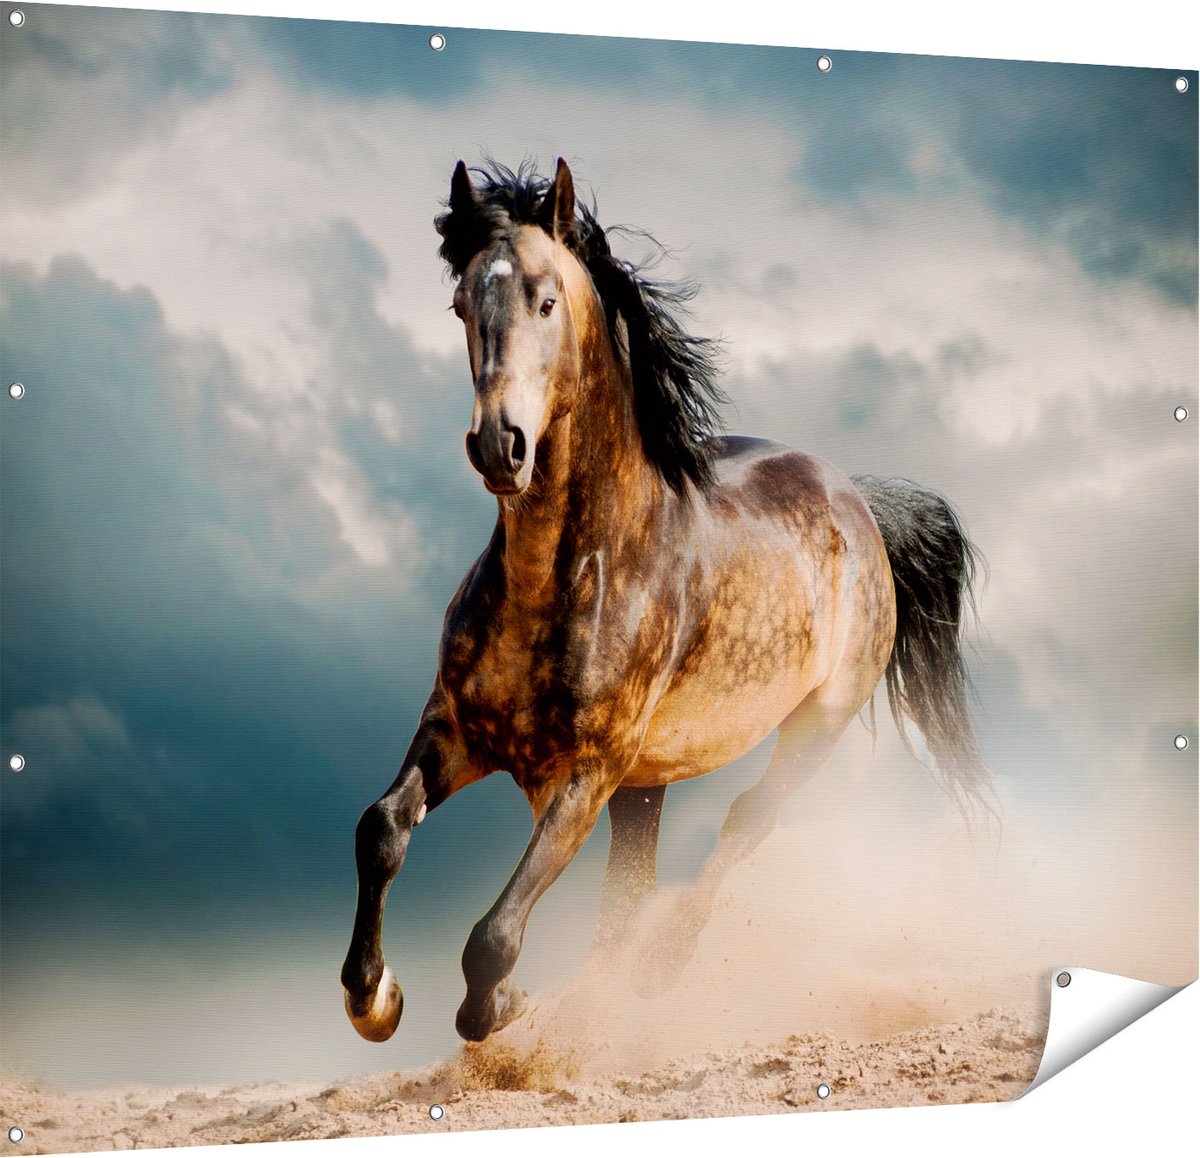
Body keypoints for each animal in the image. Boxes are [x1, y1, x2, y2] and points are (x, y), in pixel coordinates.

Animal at [340, 157, 991, 1044]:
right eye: (461, 304)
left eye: (547, 299)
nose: (499, 446)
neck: (565, 578)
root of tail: (858, 499)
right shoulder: (456, 731)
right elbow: (380, 830)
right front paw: (374, 997)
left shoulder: (587, 773)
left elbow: (493, 936)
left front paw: (501, 1006)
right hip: (646, 786)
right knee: (632, 889)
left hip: (811, 727)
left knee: (744, 822)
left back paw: (659, 969)